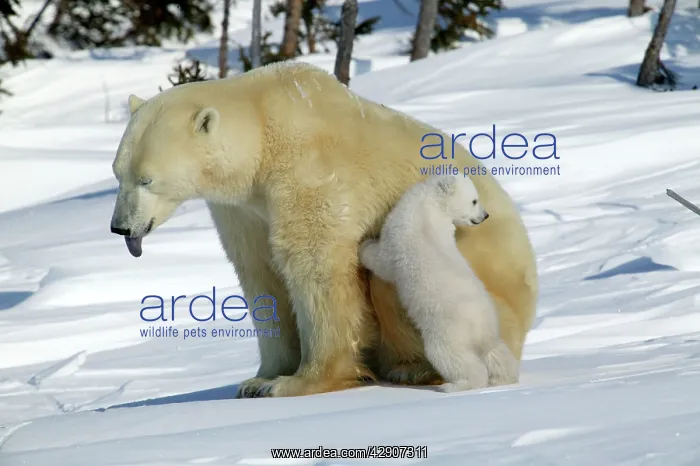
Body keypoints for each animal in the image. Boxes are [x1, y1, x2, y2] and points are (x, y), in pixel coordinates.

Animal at [358, 174, 519, 392]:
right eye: (475, 200)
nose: (485, 215)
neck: (430, 205)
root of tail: (480, 329)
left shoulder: (399, 237)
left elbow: (383, 260)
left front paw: (363, 247)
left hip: (446, 331)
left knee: (452, 358)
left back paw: (454, 385)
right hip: (489, 327)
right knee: (496, 352)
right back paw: (504, 378)